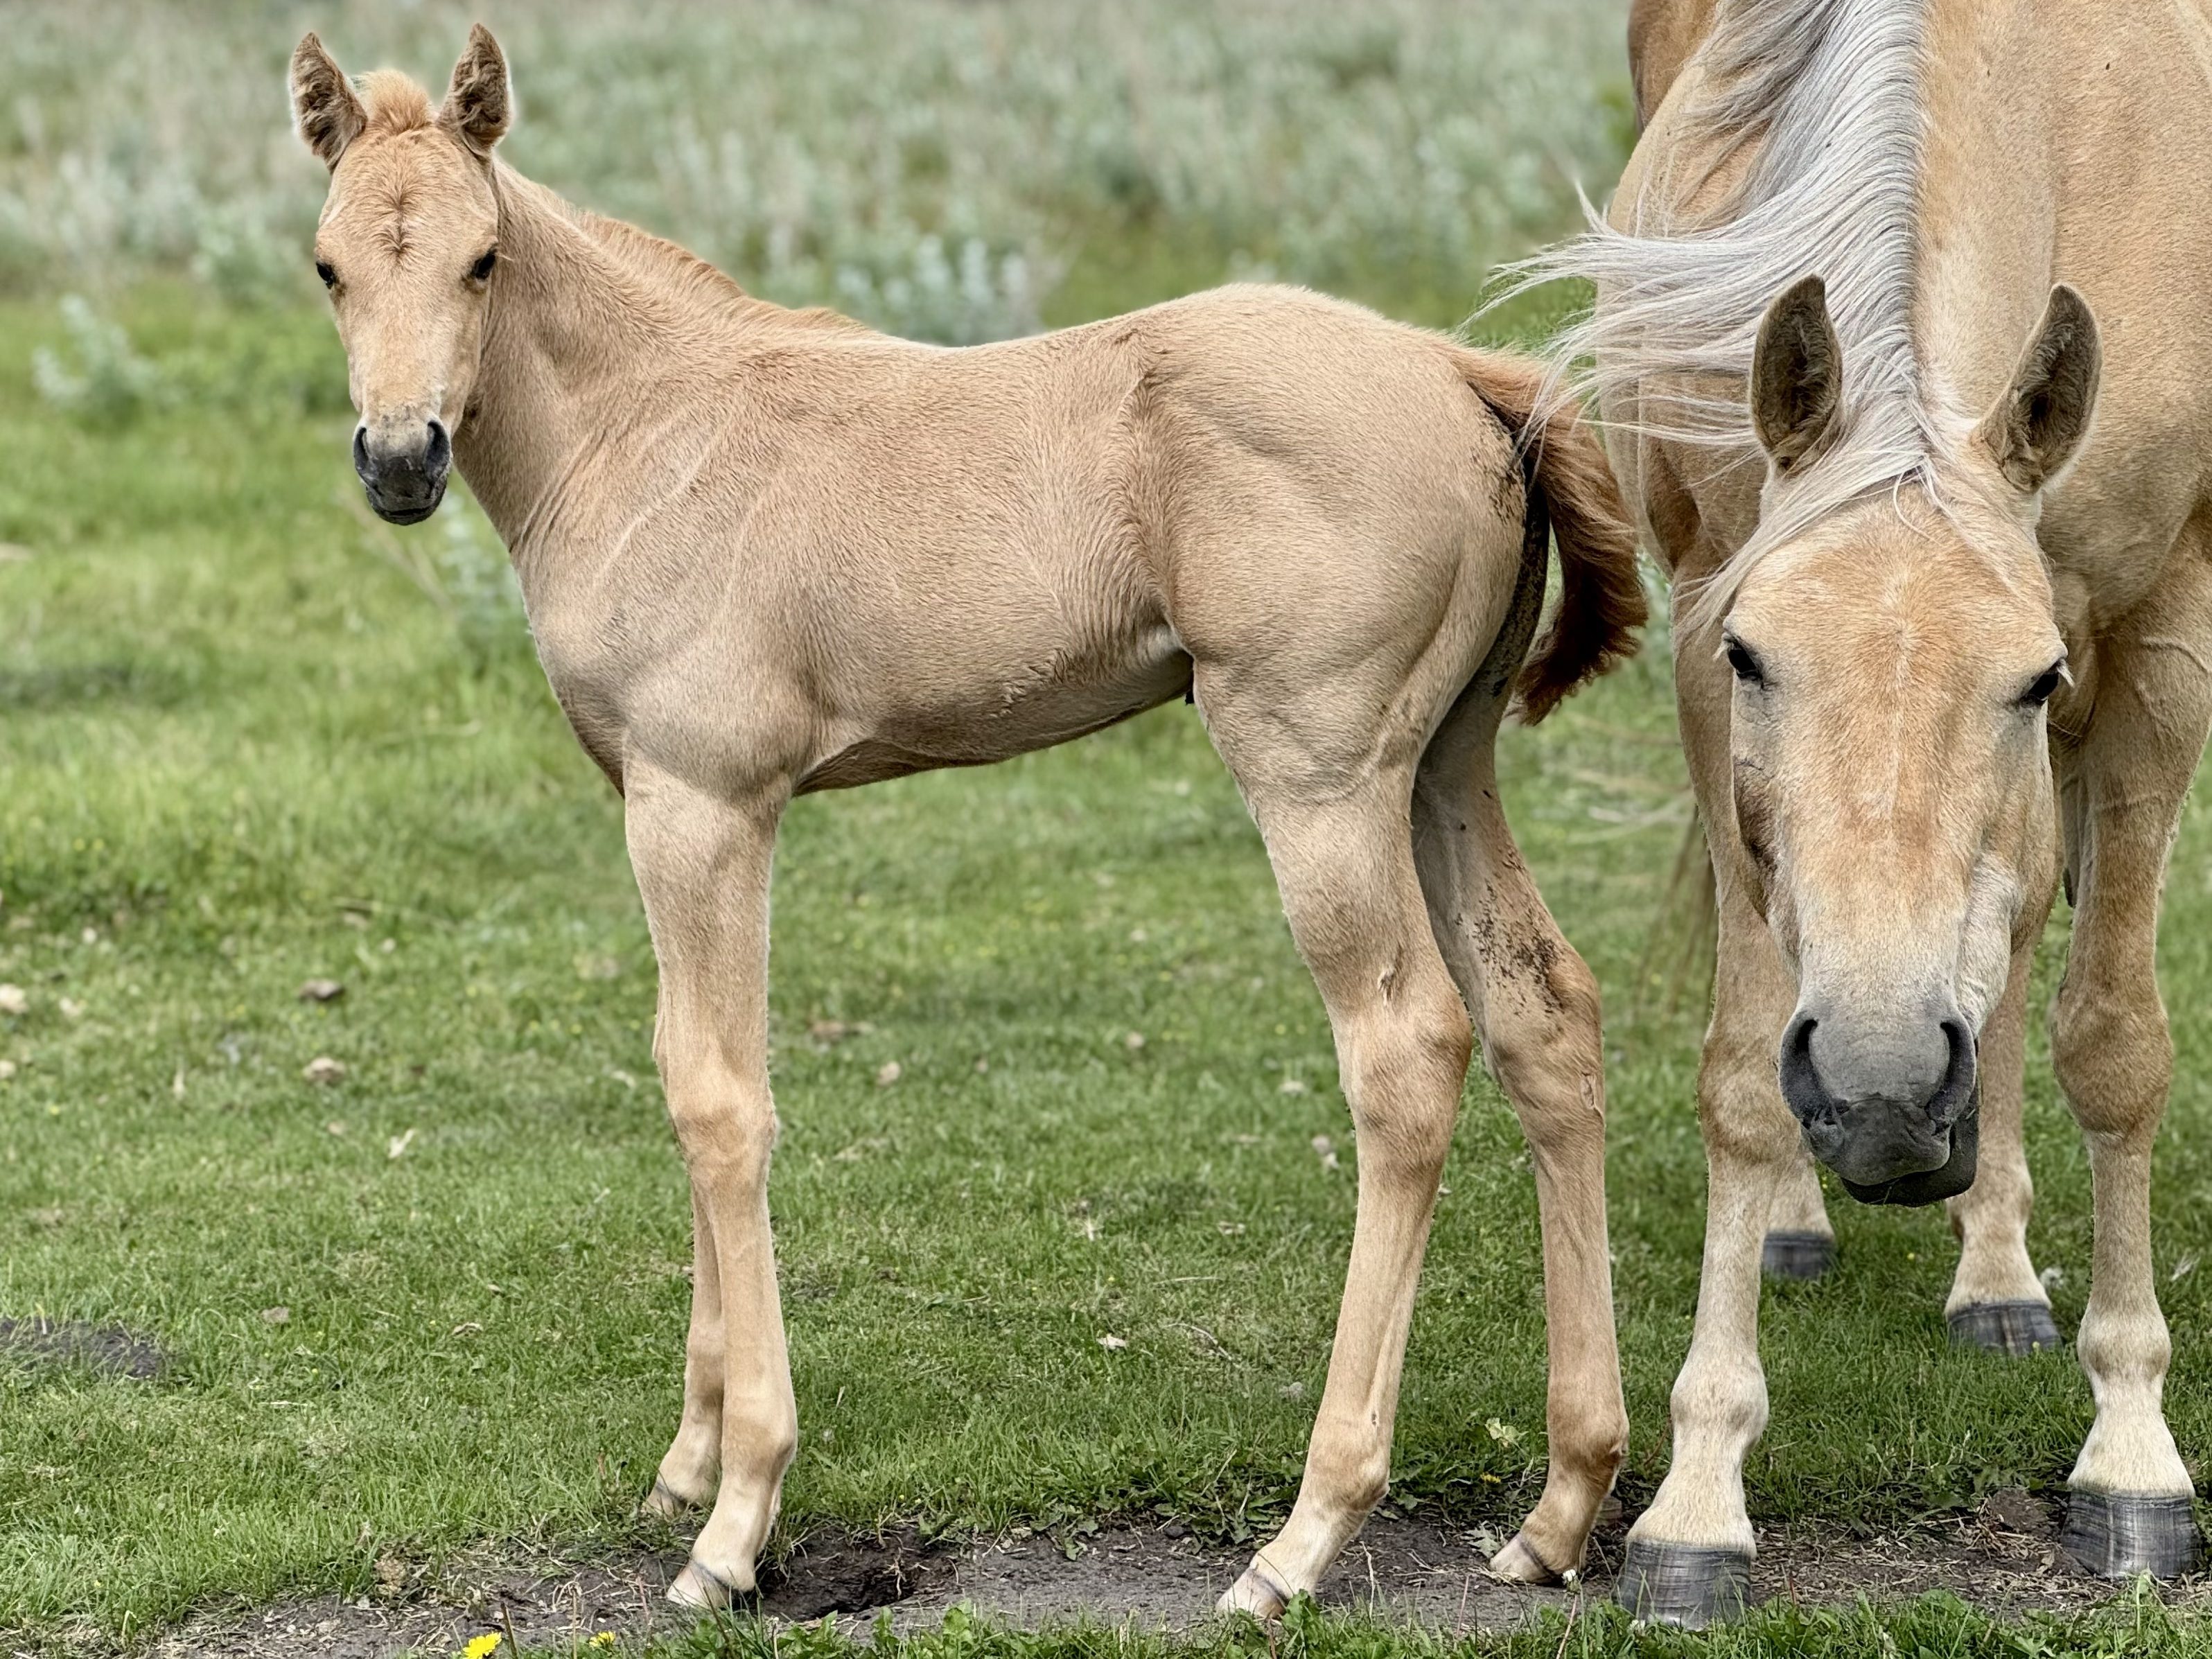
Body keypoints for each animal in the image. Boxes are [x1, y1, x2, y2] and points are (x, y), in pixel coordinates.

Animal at [289, 26, 1645, 1612]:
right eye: (330, 265)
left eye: (484, 259)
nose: (401, 460)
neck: (647, 427)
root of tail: (1458, 369)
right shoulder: (670, 807)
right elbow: (691, 1068)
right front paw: (688, 1458)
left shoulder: (704, 807)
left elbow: (718, 1099)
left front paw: (735, 1514)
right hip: (1443, 762)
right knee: (1543, 1013)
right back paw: (1562, 1502)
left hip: (1318, 774)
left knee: (1408, 1049)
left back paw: (1306, 1532)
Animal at [1527, 0, 2212, 1625]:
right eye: (1754, 658)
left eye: (2030, 677)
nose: (1889, 1089)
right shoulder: (1706, 627)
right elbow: (1734, 1066)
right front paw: (1700, 1495)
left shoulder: (2159, 636)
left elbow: (2114, 1048)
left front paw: (2134, 1456)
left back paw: (1998, 1269)